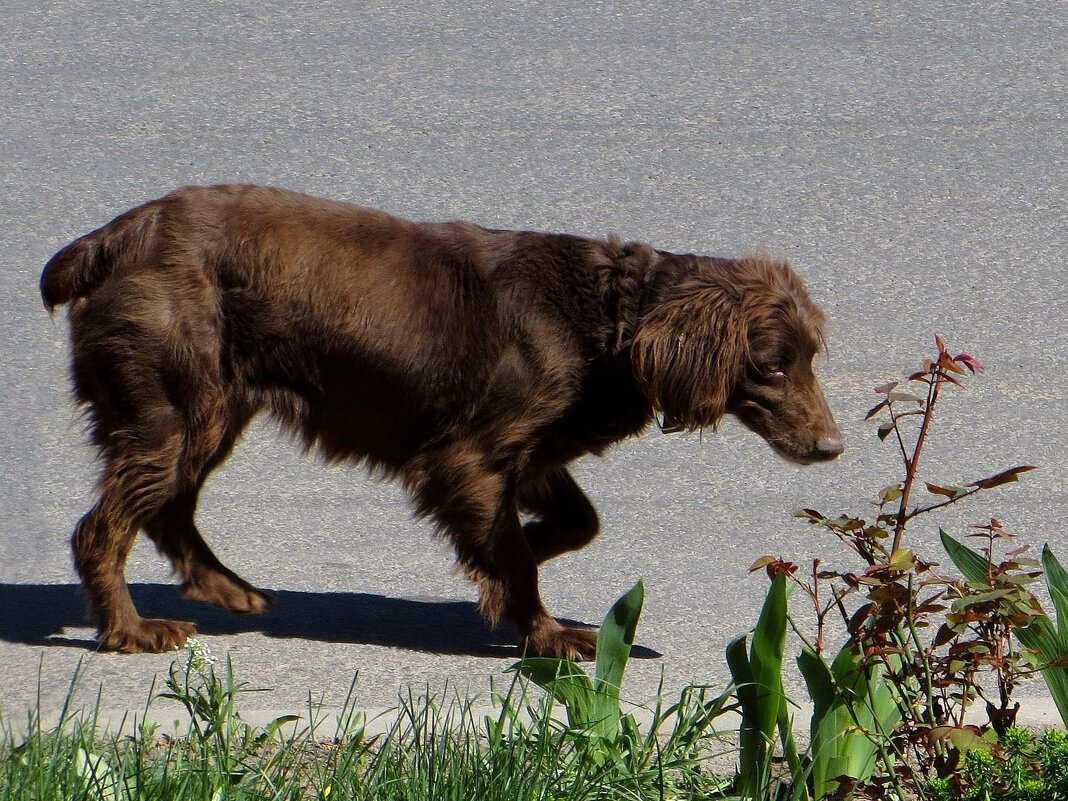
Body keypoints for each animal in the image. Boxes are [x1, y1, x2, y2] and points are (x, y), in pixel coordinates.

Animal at [41, 184, 841, 662]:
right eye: (772, 366)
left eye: (810, 357)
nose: (833, 447)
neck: (612, 318)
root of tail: (111, 240)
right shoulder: (471, 455)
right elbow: (515, 555)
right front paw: (546, 631)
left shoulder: (529, 454)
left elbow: (571, 525)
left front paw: (511, 563)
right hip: (175, 408)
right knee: (102, 528)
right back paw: (131, 631)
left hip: (210, 412)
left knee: (167, 509)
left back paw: (229, 590)